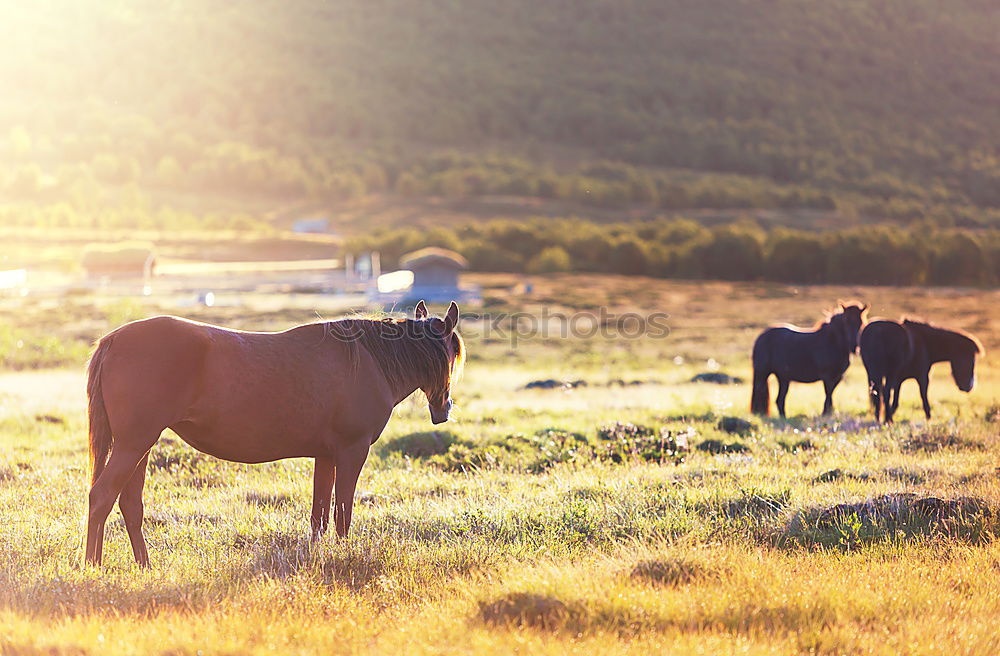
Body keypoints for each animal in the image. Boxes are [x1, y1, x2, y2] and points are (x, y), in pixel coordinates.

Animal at [85, 300, 460, 568]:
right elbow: (342, 514)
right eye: (452, 354)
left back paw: (143, 566)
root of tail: (113, 340)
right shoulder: (352, 452)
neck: (370, 361)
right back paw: (92, 566)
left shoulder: (326, 456)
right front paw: (344, 555)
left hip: (140, 446)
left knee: (129, 503)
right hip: (133, 445)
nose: (443, 409)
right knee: (101, 496)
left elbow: (319, 517)